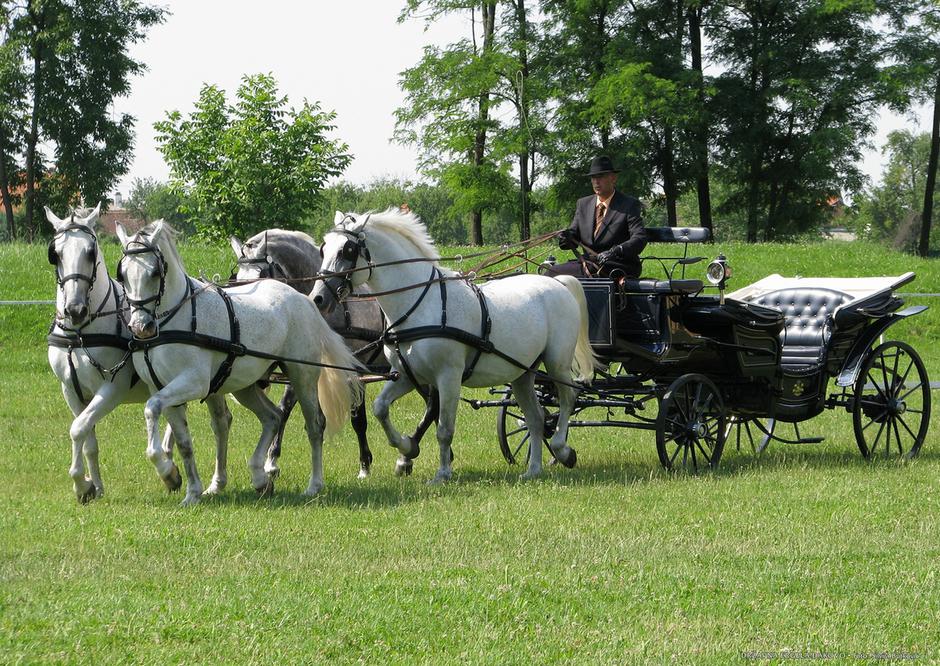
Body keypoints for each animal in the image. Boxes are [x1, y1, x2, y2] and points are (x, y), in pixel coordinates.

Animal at [45, 205, 231, 500]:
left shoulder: (112, 388)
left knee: (221, 423)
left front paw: (82, 484)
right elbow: (87, 438)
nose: (75, 309)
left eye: (90, 251)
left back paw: (210, 479)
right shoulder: (71, 391)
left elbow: (78, 429)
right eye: (56, 254)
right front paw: (93, 487)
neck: (82, 333)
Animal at [116, 219, 364, 504]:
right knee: (272, 417)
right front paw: (187, 489)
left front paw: (168, 472)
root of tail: (305, 300)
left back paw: (313, 485)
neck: (176, 319)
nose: (140, 326)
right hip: (245, 387)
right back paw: (259, 477)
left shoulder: (193, 383)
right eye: (122, 274)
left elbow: (151, 408)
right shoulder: (164, 389)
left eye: (155, 272)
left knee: (314, 425)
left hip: (302, 377)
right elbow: (184, 442)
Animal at [314, 210, 596, 480]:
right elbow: (380, 408)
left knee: (568, 399)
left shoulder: (448, 377)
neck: (419, 304)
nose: (318, 298)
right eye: (324, 248)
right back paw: (533, 469)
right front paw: (407, 448)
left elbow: (444, 429)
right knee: (536, 418)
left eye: (347, 250)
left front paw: (441, 473)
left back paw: (563, 450)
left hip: (557, 363)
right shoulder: (406, 375)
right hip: (522, 373)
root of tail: (558, 282)